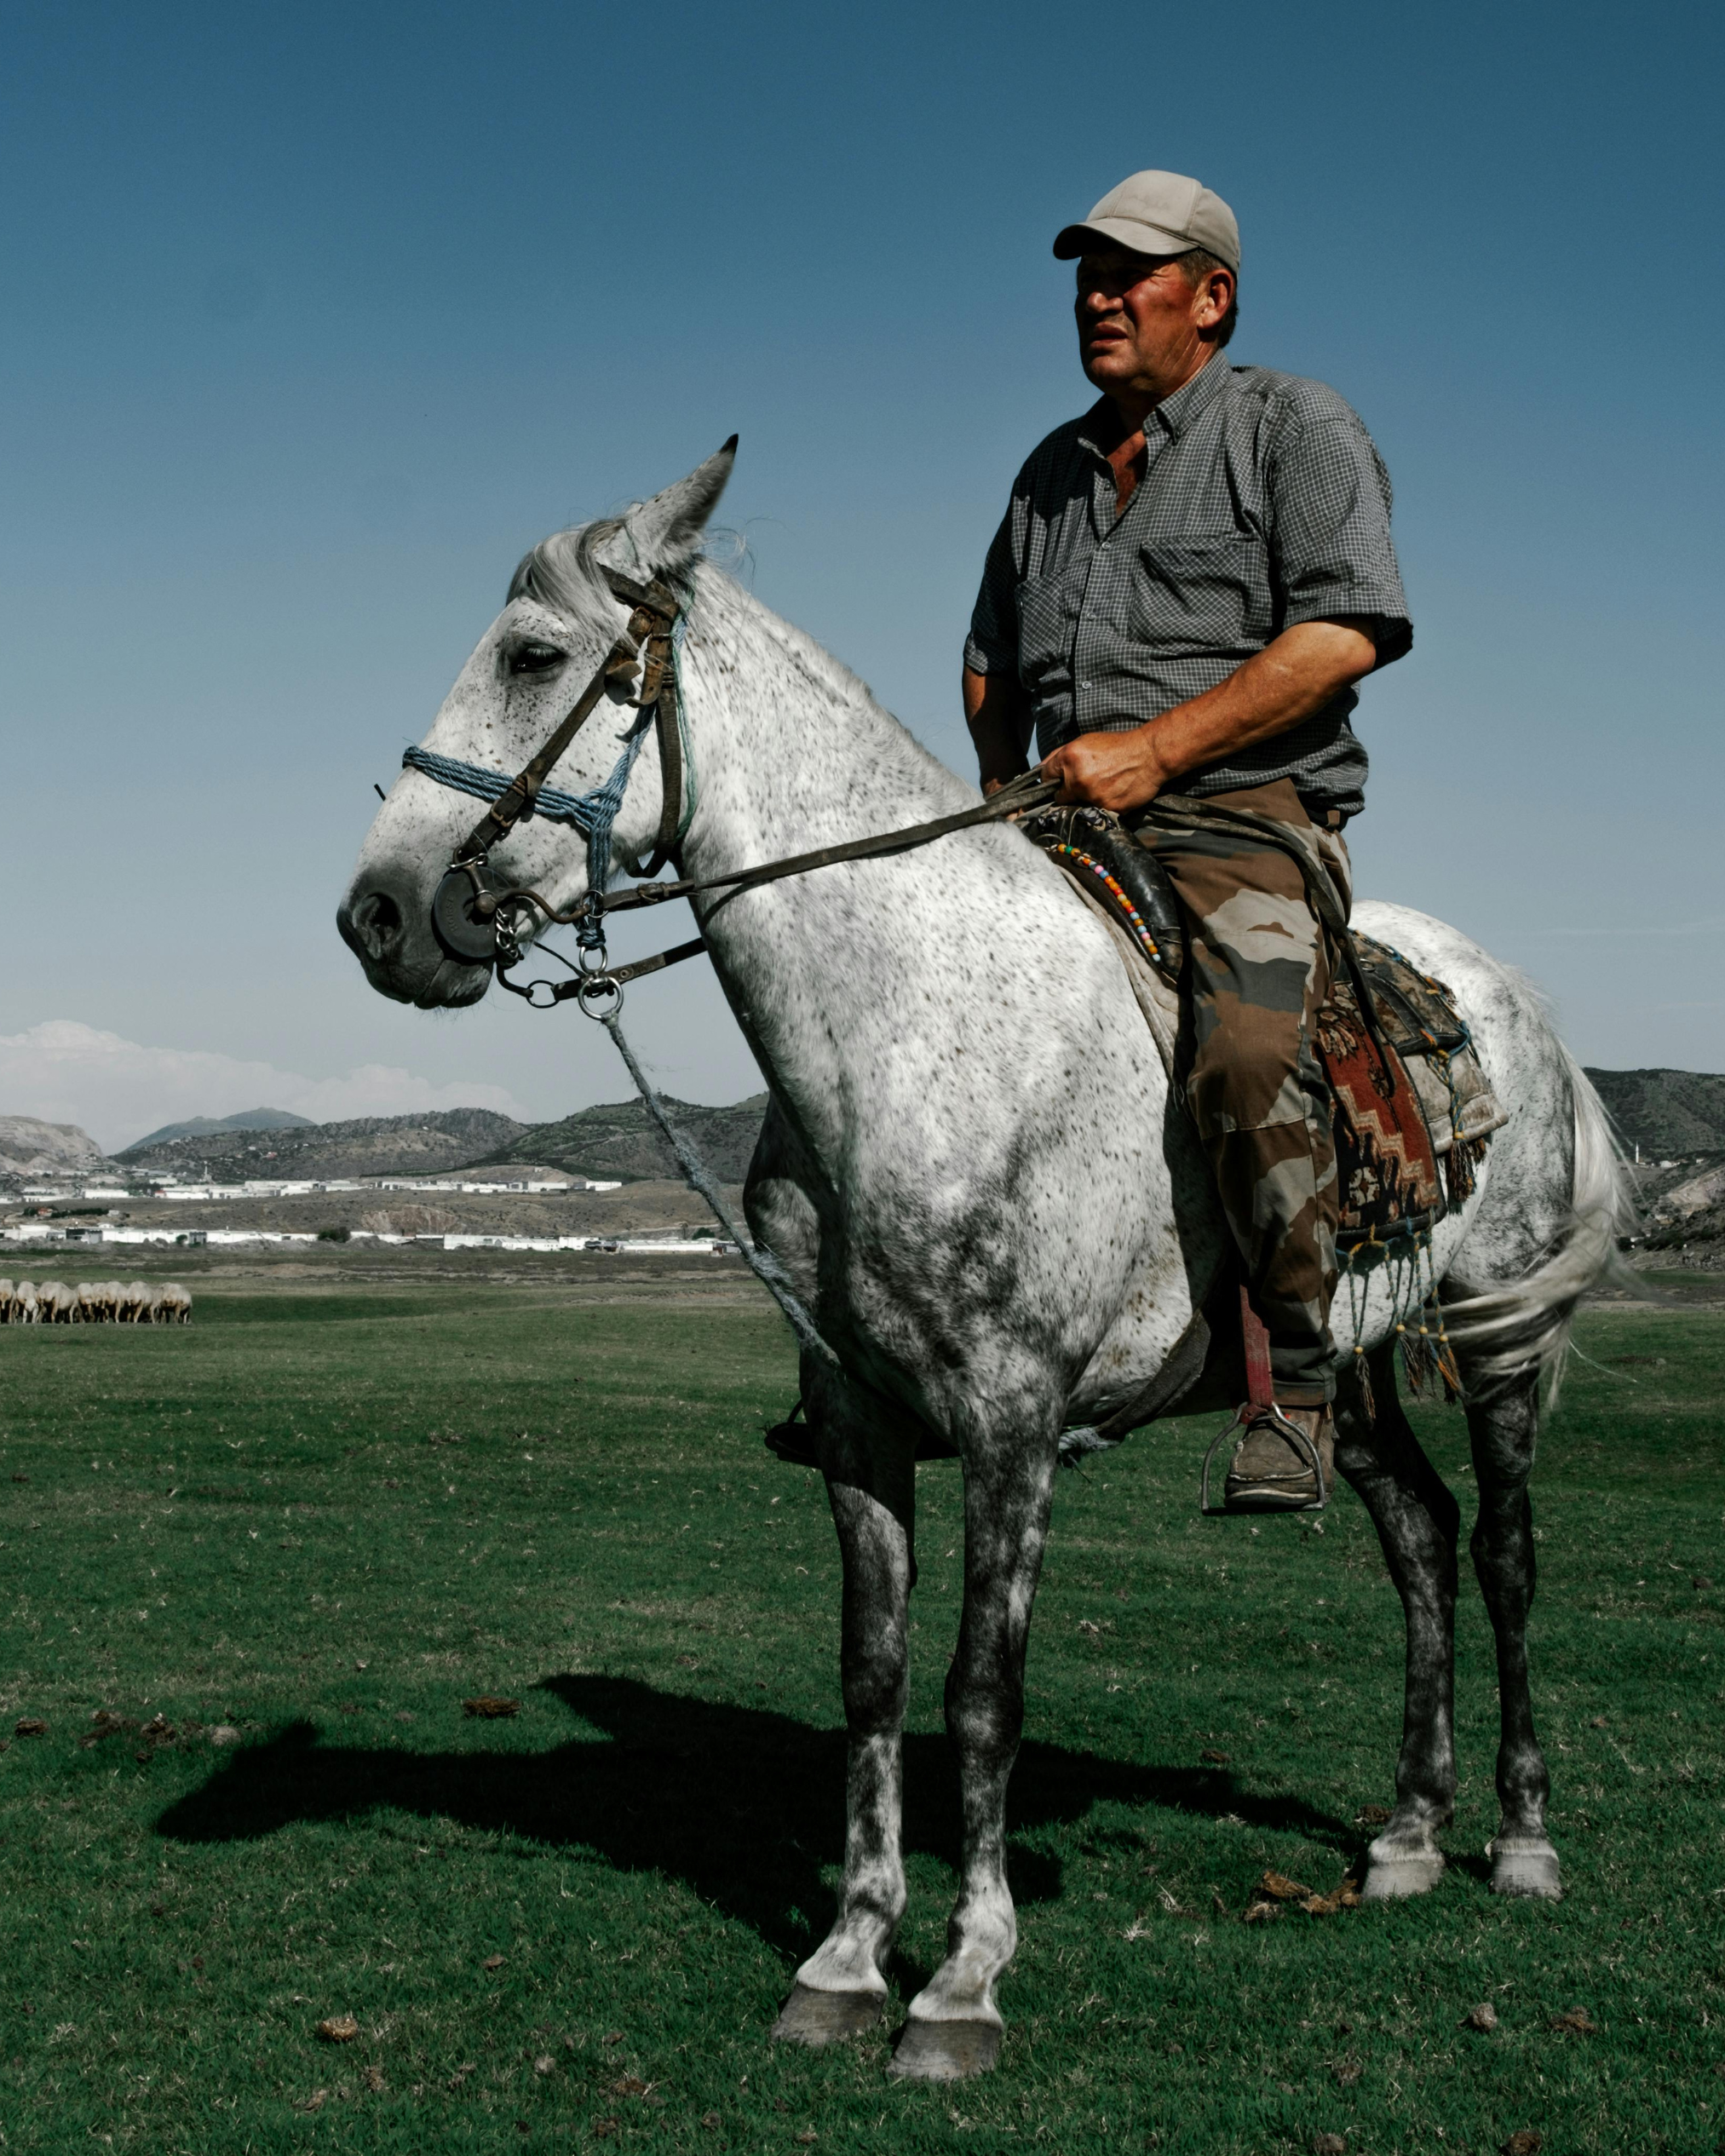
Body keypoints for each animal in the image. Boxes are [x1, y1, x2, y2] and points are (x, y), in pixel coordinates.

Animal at [337, 444, 1629, 2083]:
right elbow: (875, 1676)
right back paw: (1404, 1830)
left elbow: (981, 1692)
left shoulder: (1013, 1419)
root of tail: (1515, 997)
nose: (377, 915)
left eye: (529, 654)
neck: (908, 1033)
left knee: (1508, 1549)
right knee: (1418, 1530)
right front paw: (844, 1957)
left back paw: (1519, 1838)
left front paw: (962, 1979)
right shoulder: (855, 1417)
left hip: (1496, 1333)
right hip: (1343, 1361)